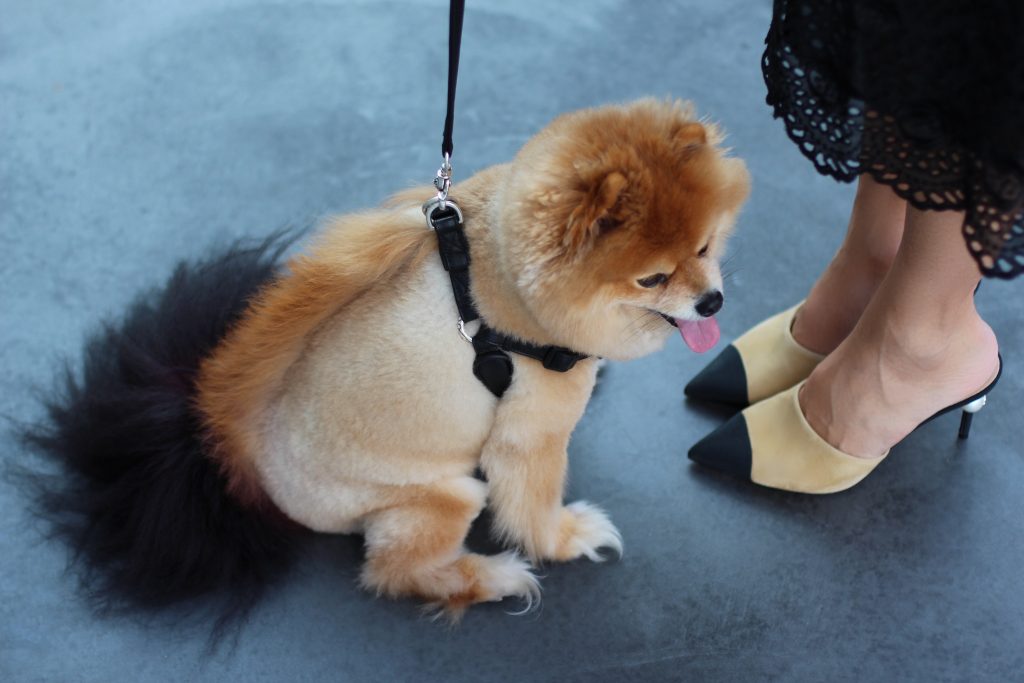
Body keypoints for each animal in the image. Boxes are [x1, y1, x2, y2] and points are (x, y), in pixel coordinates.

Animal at [22, 97, 745, 626]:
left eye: (706, 246)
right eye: (652, 279)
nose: (711, 300)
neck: (502, 277)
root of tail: (245, 466)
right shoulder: (528, 435)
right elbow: (532, 504)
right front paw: (561, 538)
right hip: (444, 493)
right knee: (394, 570)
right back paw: (490, 577)